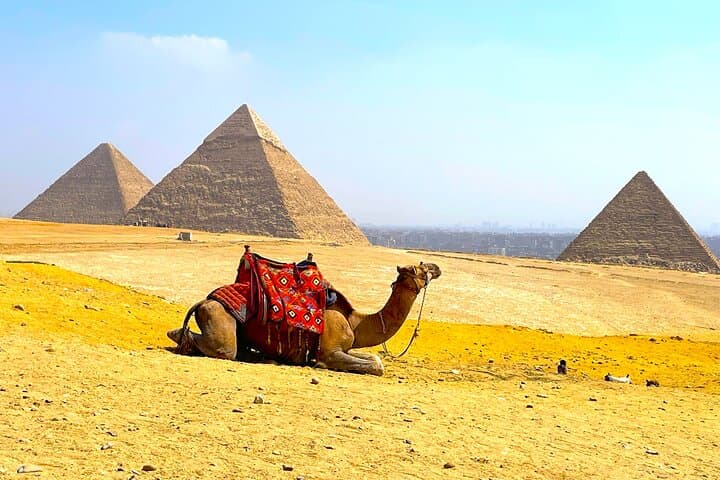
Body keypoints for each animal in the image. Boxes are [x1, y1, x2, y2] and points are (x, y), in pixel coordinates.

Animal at [167, 260, 441, 376]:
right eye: (419, 269)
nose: (437, 268)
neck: (356, 321)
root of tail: (204, 300)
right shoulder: (330, 351)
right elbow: (376, 366)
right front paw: (318, 366)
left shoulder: (346, 347)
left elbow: (375, 358)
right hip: (219, 319)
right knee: (222, 348)